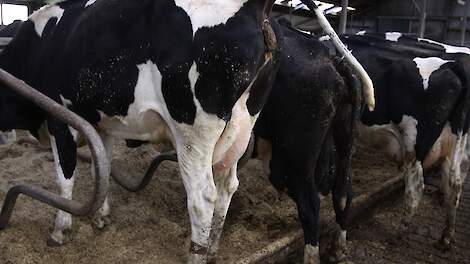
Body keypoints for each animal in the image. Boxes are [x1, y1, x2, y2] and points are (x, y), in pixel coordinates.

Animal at [340, 32, 470, 249]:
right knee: (455, 182)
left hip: (415, 141)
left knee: (416, 186)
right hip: (456, 140)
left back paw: (400, 231)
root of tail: (452, 66)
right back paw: (445, 236)